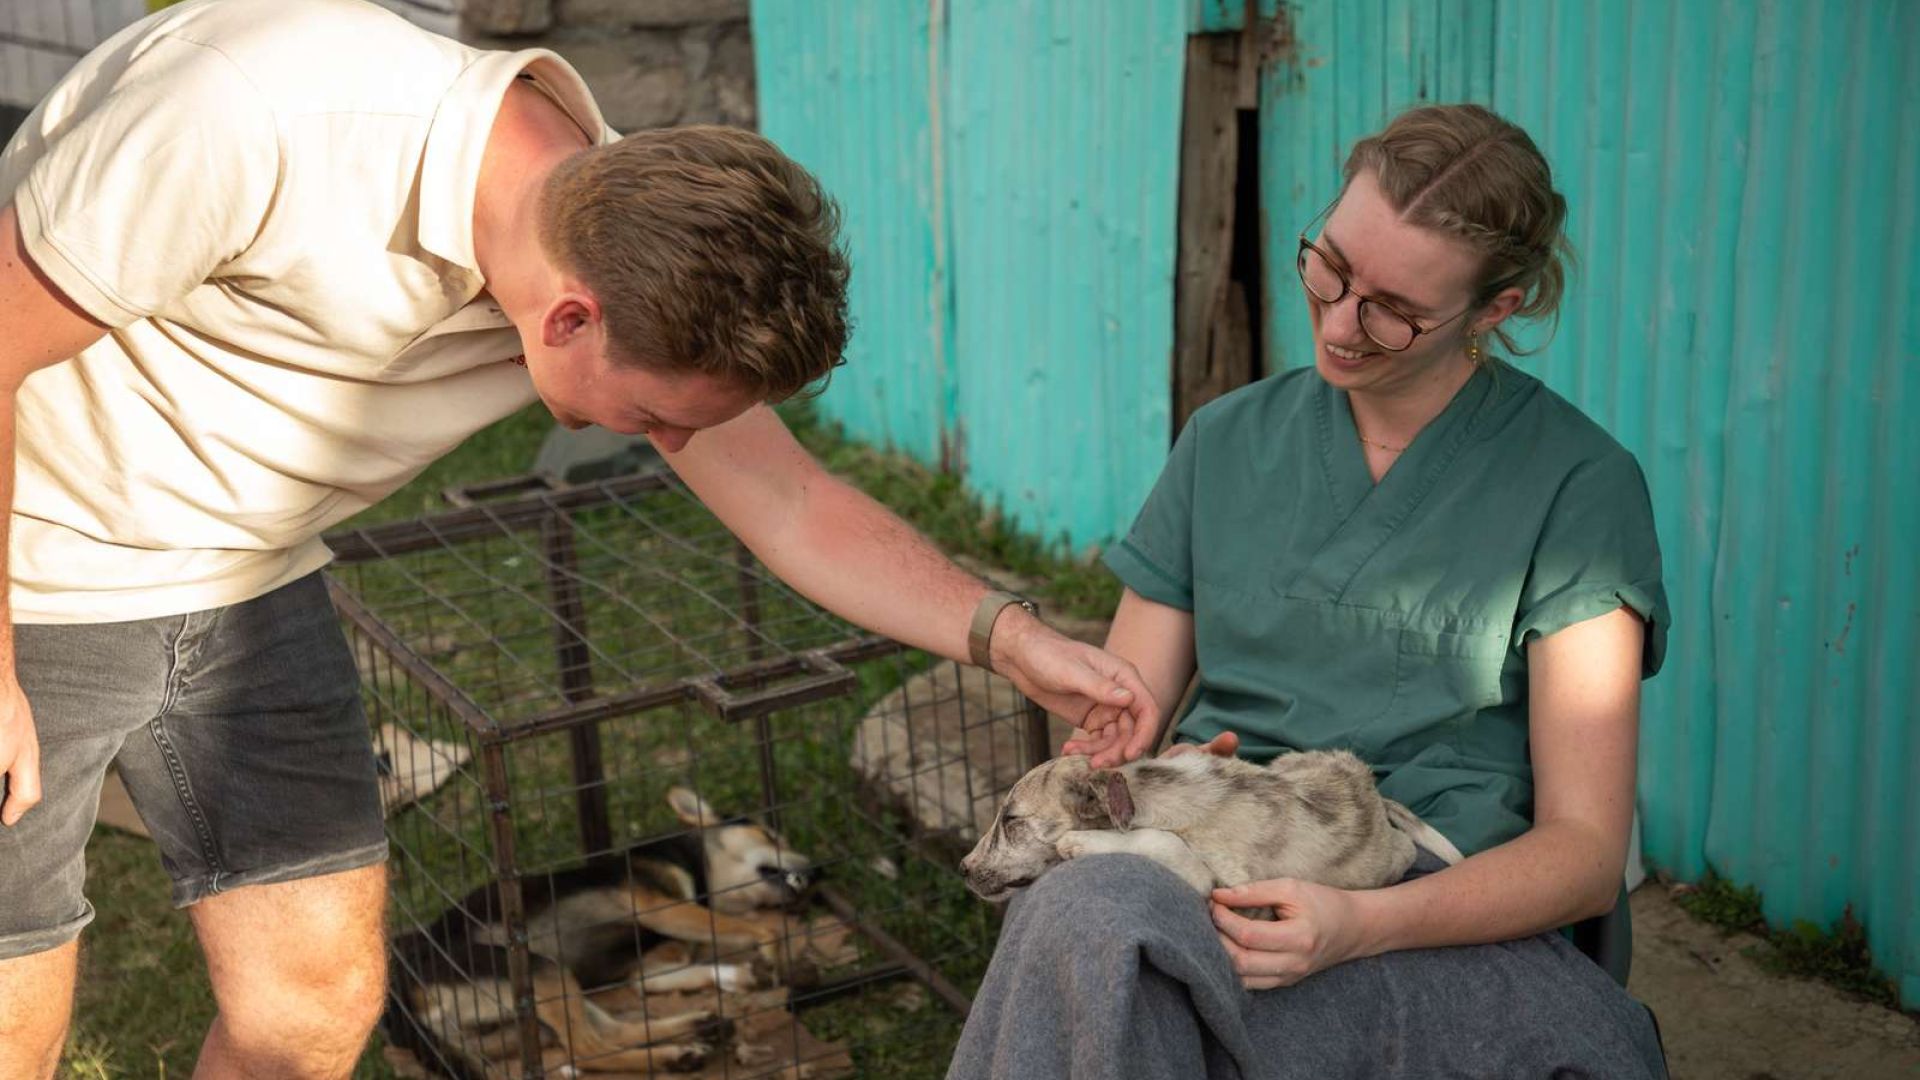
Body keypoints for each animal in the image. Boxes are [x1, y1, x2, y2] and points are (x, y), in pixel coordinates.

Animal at [385, 780, 814, 1076]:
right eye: (770, 835)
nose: (816, 870)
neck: (693, 862)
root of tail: (401, 997)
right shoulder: (659, 908)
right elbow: (753, 929)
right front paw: (769, 957)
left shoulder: (649, 966)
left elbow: (688, 970)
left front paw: (742, 974)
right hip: (534, 969)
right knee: (585, 1051)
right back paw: (676, 1052)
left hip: (529, 1010)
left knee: (607, 1036)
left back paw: (694, 1033)